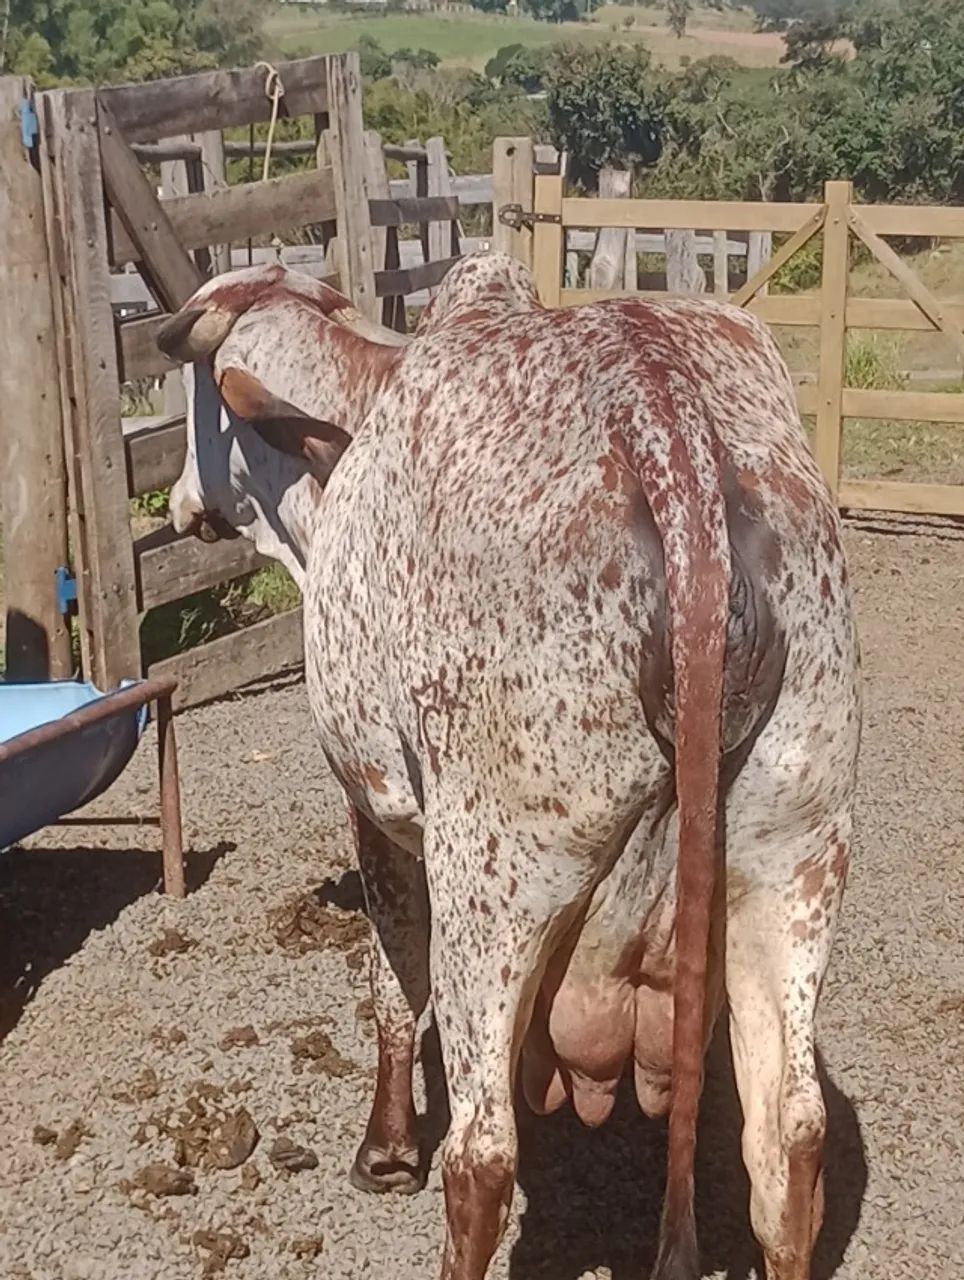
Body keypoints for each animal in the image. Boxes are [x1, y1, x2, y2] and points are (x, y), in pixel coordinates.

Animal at [157, 253, 861, 1280]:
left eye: (192, 402)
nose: (180, 504)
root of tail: (668, 429)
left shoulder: (377, 806)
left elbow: (390, 983)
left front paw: (384, 1149)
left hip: (494, 879)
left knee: (483, 1153)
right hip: (794, 858)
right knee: (789, 1138)